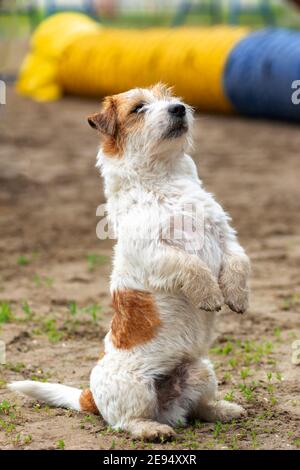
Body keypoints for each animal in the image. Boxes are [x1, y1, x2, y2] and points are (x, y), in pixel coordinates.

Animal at [8, 83, 250, 440]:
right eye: (138, 108)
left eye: (169, 98)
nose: (179, 108)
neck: (165, 179)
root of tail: (89, 396)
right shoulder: (154, 252)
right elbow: (191, 266)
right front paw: (209, 294)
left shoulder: (225, 236)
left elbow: (238, 263)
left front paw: (237, 298)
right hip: (135, 386)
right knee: (127, 421)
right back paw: (153, 430)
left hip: (202, 370)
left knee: (197, 408)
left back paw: (225, 409)